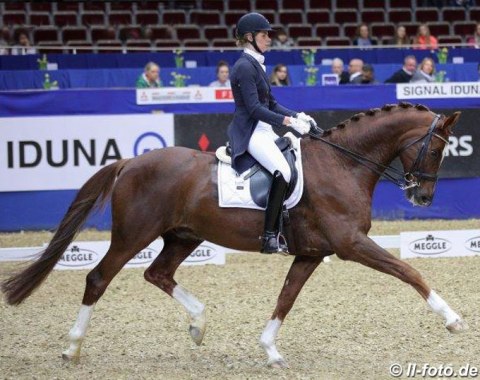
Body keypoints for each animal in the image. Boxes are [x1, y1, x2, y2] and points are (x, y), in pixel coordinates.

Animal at [0, 101, 464, 368]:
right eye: (437, 148)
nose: (423, 197)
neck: (343, 164)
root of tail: (130, 162)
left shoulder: (313, 253)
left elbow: (286, 297)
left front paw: (270, 349)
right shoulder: (351, 244)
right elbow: (409, 272)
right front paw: (453, 319)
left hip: (183, 235)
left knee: (157, 274)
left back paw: (199, 324)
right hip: (134, 234)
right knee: (99, 278)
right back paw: (72, 348)